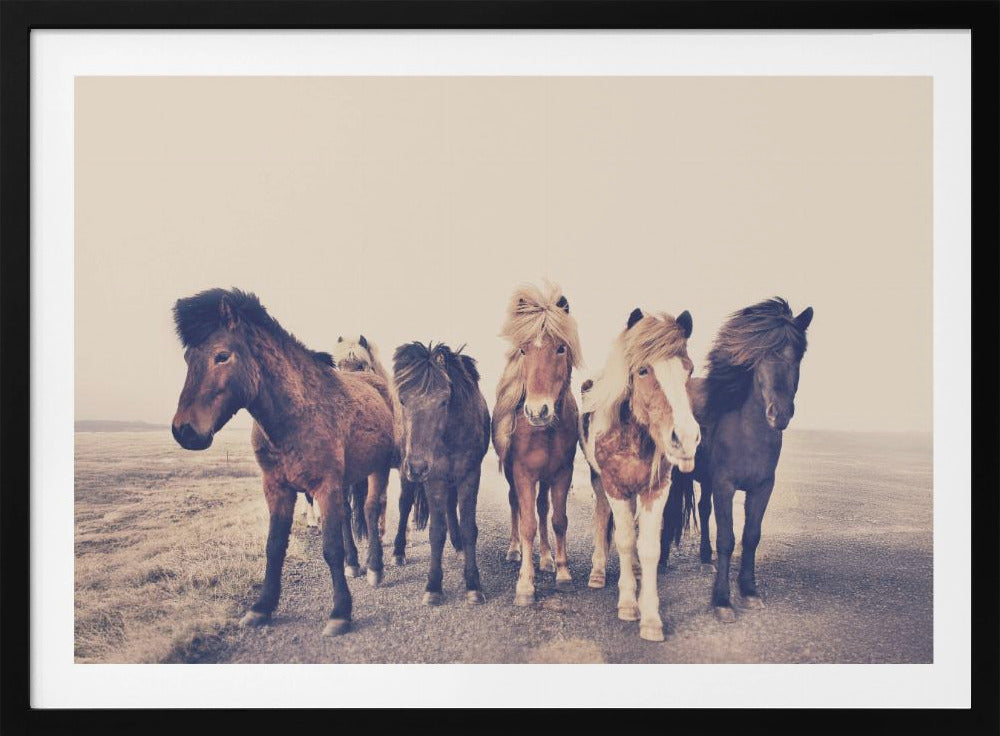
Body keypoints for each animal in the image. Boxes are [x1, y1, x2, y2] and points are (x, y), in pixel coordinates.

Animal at [170, 288, 395, 637]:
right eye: (187, 359)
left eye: (221, 356)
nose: (183, 430)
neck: (296, 415)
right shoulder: (277, 488)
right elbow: (274, 546)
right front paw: (262, 606)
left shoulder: (325, 486)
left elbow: (330, 548)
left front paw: (340, 611)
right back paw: (356, 564)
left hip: (378, 468)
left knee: (371, 510)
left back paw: (374, 567)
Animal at [392, 342, 491, 605]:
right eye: (403, 400)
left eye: (444, 401)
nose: (417, 467)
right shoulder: (434, 478)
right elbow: (436, 532)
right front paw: (433, 586)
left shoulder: (470, 475)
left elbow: (468, 526)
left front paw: (473, 584)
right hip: (408, 475)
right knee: (404, 504)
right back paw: (398, 552)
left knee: (450, 507)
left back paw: (458, 547)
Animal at [492, 282, 582, 606]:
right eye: (523, 349)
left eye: (561, 348)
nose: (537, 411)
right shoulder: (522, 474)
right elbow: (528, 523)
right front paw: (525, 584)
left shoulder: (563, 473)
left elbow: (558, 519)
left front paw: (563, 573)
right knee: (516, 505)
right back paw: (514, 550)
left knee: (543, 508)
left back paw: (545, 558)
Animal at [579, 307, 700, 641]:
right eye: (644, 370)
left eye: (689, 370)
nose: (686, 438)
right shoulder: (614, 486)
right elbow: (623, 540)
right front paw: (628, 604)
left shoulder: (655, 489)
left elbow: (647, 548)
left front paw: (651, 617)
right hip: (599, 483)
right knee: (601, 520)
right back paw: (598, 572)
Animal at [662, 297, 813, 623]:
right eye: (761, 355)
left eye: (797, 355)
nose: (779, 414)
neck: (748, 434)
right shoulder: (725, 485)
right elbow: (727, 539)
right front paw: (722, 601)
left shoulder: (762, 487)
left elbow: (751, 536)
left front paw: (749, 592)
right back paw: (664, 560)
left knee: (703, 510)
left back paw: (705, 559)